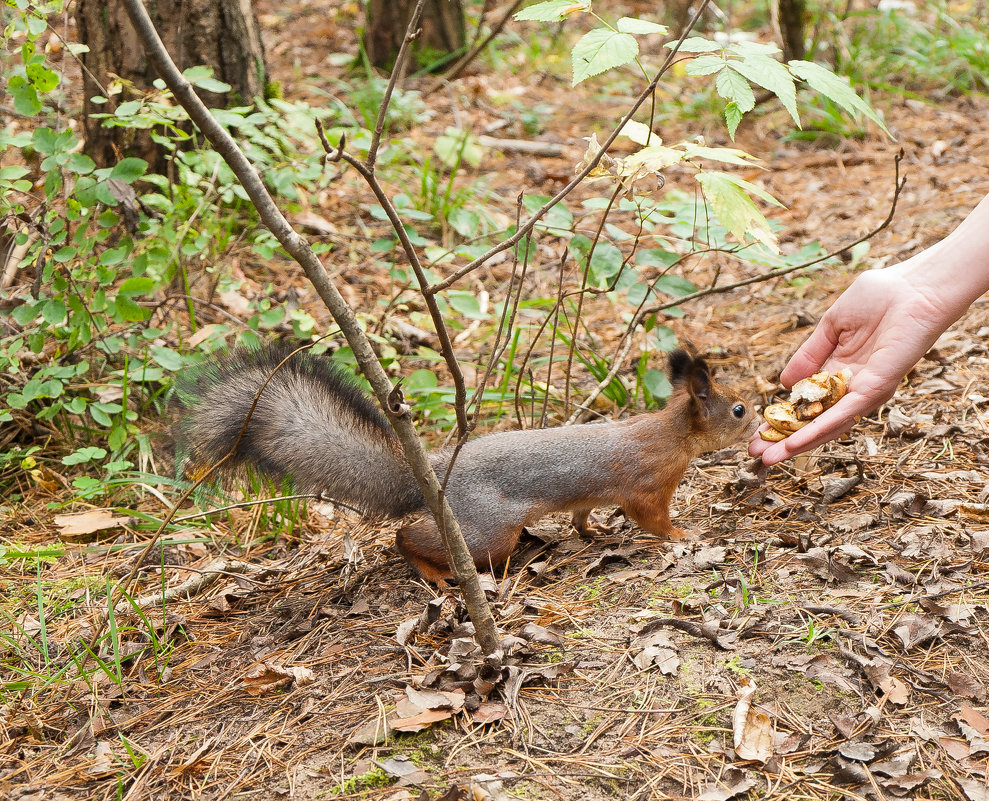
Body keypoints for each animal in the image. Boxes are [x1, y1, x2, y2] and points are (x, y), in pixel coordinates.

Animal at [174, 340, 752, 580]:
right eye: (738, 410)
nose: (759, 419)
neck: (671, 433)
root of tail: (432, 474)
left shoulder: (592, 496)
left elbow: (583, 514)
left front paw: (595, 534)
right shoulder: (647, 484)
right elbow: (652, 518)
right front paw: (683, 535)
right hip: (486, 531)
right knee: (409, 537)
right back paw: (434, 573)